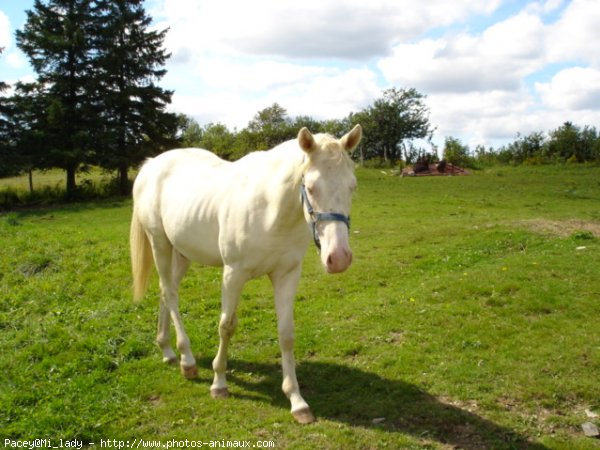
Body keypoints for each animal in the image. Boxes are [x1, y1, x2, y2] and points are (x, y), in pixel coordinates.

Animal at [129, 125, 360, 424]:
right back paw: (187, 361)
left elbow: (287, 334)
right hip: (160, 245)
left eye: (352, 186)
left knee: (165, 292)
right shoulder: (233, 275)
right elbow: (226, 326)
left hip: (181, 253)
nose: (339, 258)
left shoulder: (286, 275)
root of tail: (150, 166)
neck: (271, 211)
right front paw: (219, 384)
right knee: (170, 294)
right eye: (310, 187)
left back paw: (167, 350)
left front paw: (297, 401)